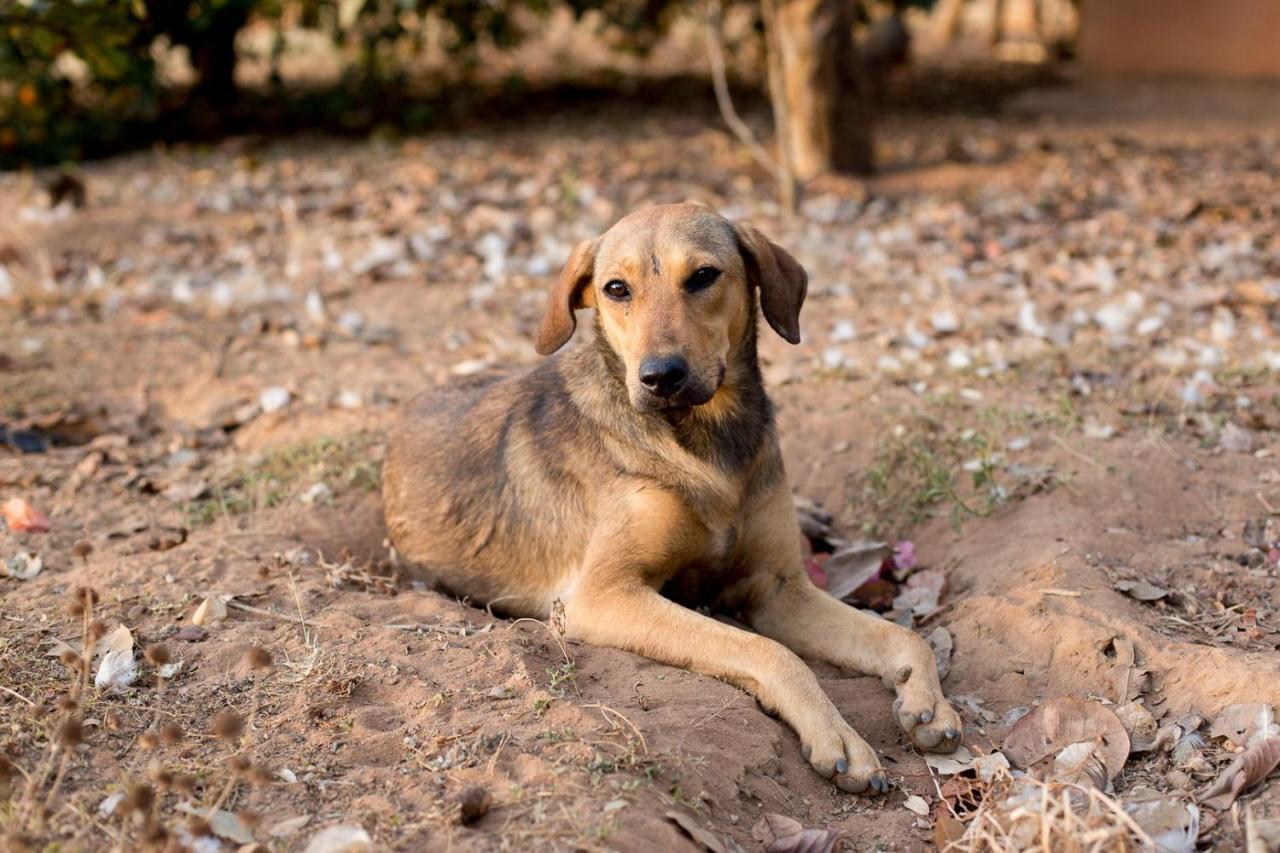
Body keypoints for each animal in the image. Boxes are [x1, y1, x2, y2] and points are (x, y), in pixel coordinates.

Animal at [381, 201, 962, 788]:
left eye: (703, 276)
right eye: (616, 289)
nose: (660, 376)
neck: (706, 438)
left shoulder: (776, 587)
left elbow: (902, 637)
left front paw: (928, 702)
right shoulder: (602, 597)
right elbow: (768, 650)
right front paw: (836, 734)